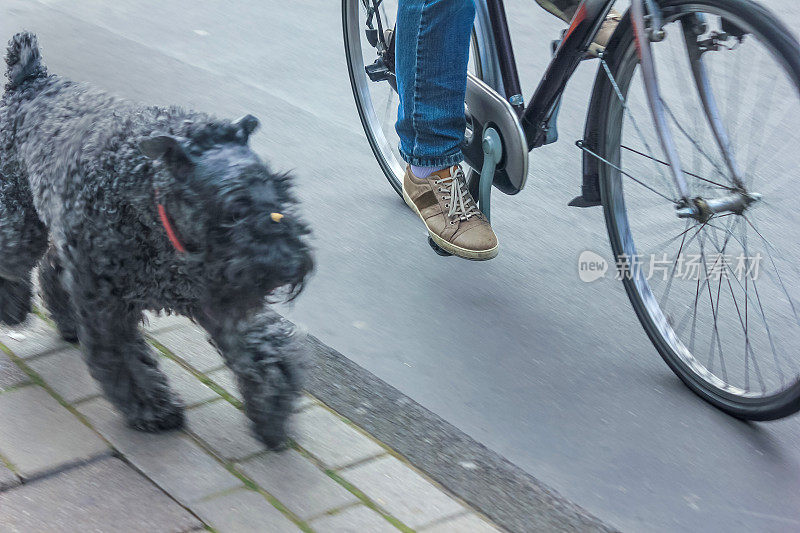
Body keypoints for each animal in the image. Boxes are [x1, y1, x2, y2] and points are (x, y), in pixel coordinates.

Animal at [0, 32, 312, 448]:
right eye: (233, 210)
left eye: (281, 195)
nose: (288, 263)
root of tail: (30, 79)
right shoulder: (108, 309)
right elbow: (124, 360)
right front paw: (153, 410)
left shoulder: (220, 301)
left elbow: (259, 346)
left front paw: (273, 404)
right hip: (20, 224)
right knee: (14, 261)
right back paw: (13, 308)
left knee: (53, 268)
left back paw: (65, 322)